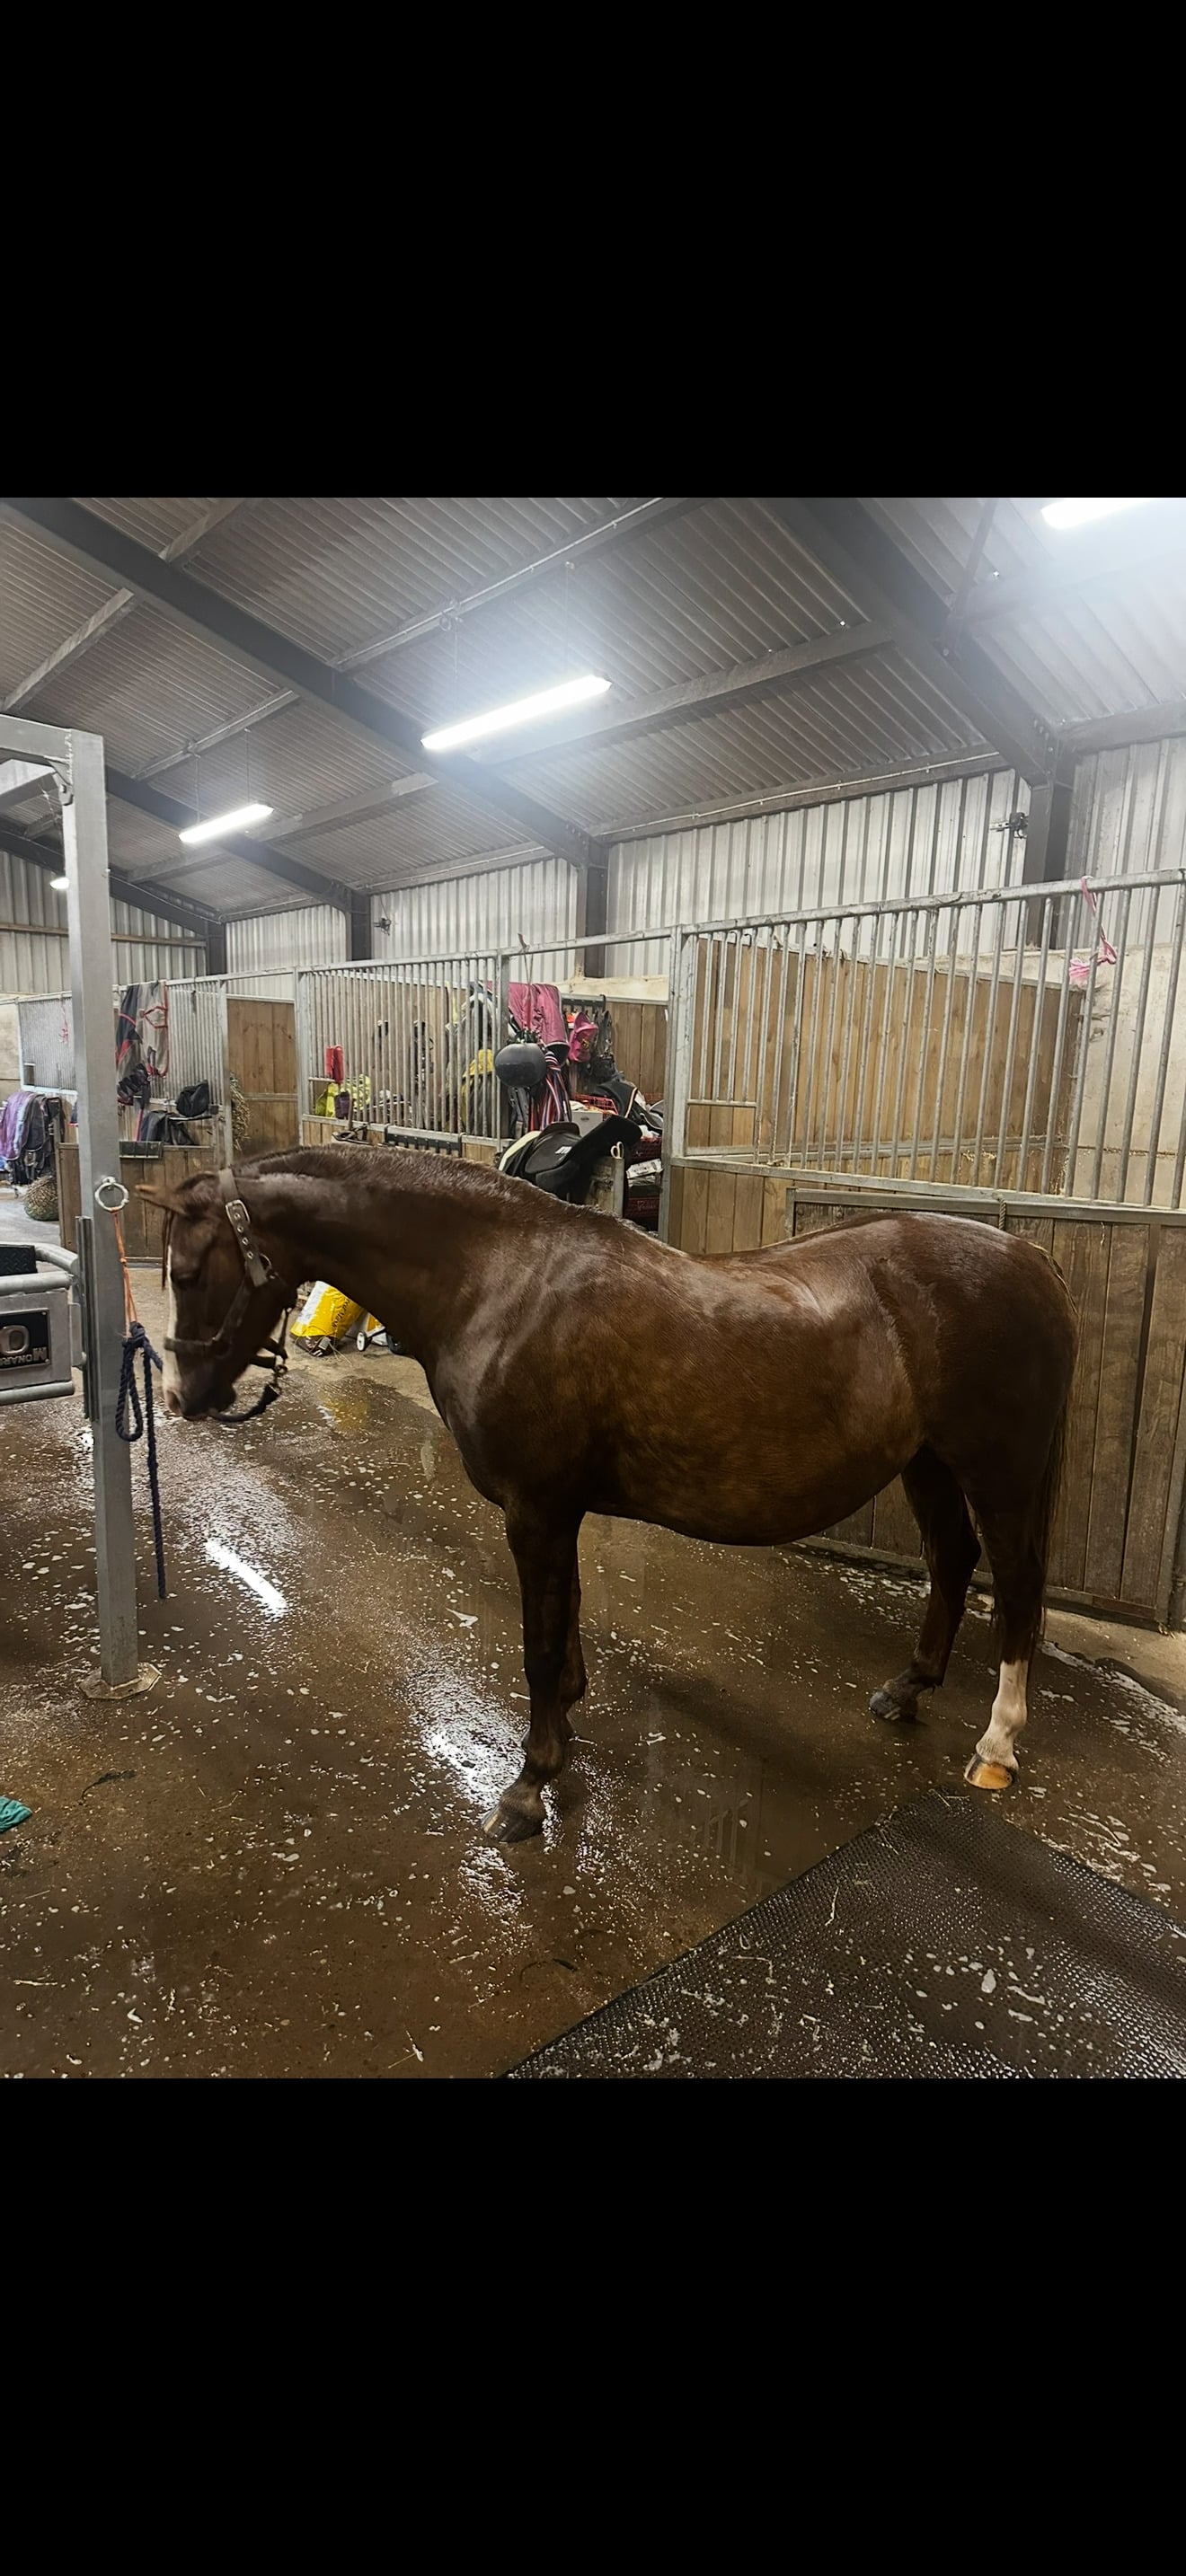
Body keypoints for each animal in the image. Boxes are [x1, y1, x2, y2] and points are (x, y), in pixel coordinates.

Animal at [151, 1148, 1078, 1845]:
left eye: (190, 1271)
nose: (178, 1397)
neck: (500, 1284)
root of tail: (1032, 1260)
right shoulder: (555, 1512)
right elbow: (564, 1627)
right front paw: (563, 1726)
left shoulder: (536, 1509)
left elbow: (537, 1643)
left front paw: (527, 1786)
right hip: (927, 1462)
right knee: (952, 1561)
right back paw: (907, 1690)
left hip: (998, 1470)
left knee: (1015, 1586)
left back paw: (997, 1745)